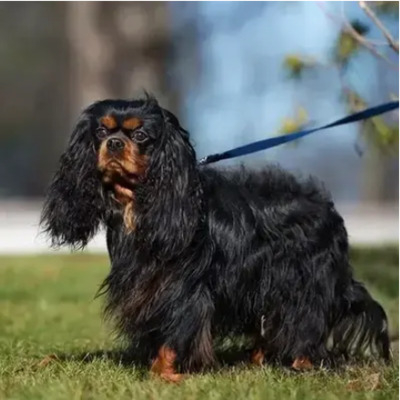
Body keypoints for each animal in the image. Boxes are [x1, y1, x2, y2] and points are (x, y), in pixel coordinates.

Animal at [41, 94, 390, 382]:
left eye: (140, 135)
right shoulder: (148, 285)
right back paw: (258, 361)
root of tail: (330, 211)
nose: (113, 143)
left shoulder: (183, 287)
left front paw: (163, 374)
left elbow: (176, 329)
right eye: (101, 132)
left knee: (305, 321)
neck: (140, 202)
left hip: (305, 281)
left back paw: (300, 364)